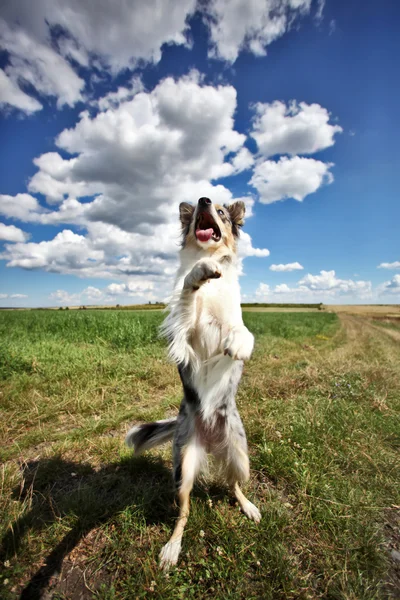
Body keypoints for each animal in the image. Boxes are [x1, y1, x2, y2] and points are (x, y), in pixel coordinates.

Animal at [126, 198, 260, 572]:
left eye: (223, 212)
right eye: (204, 202)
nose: (203, 201)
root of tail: (212, 442)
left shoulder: (232, 319)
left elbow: (241, 331)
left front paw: (240, 343)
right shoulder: (183, 338)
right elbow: (188, 294)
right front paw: (199, 272)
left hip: (240, 455)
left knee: (234, 485)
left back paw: (249, 506)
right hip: (183, 467)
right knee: (183, 512)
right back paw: (172, 548)